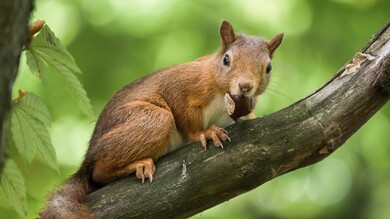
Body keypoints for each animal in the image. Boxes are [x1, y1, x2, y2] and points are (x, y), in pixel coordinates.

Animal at [38, 20, 284, 217]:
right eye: (226, 59)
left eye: (269, 67)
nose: (245, 86)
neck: (220, 92)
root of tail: (87, 158)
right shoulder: (180, 84)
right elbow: (184, 114)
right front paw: (205, 132)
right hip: (153, 120)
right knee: (98, 173)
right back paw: (137, 164)